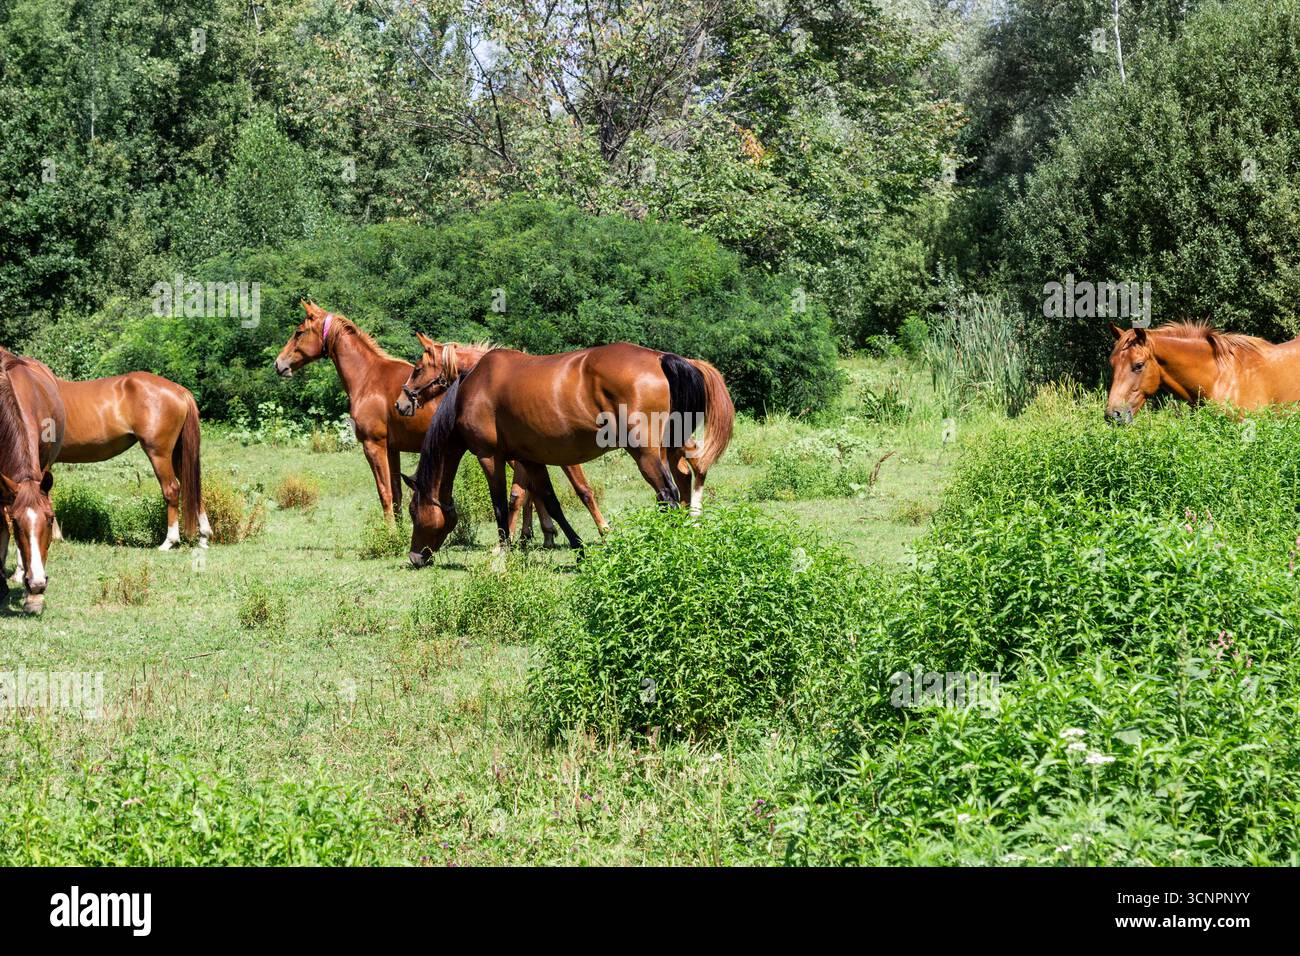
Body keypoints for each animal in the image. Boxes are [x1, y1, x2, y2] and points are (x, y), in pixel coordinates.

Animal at [54, 372, 210, 549]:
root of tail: (179, 390)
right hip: (177, 455)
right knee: (192, 486)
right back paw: (203, 537)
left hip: (159, 455)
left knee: (172, 490)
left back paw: (169, 541)